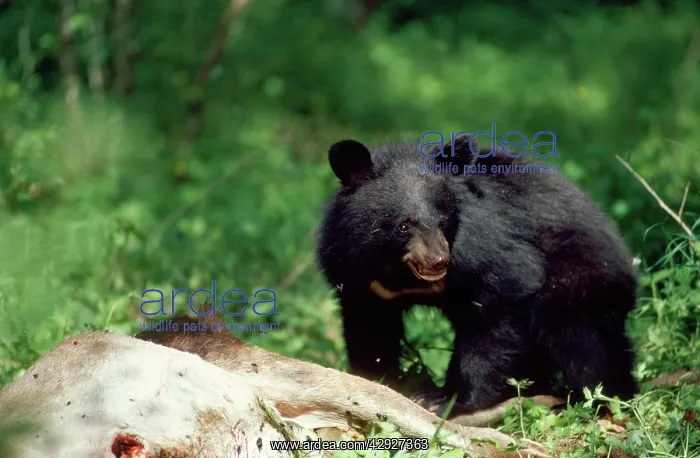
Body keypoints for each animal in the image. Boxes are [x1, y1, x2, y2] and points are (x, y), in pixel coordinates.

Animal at [315, 134, 639, 416]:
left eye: (443, 221)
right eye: (403, 226)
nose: (438, 262)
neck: (397, 270)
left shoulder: (484, 247)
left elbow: (501, 302)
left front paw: (446, 398)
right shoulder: (358, 275)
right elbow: (370, 328)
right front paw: (376, 383)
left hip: (579, 277)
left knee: (582, 340)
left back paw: (600, 401)